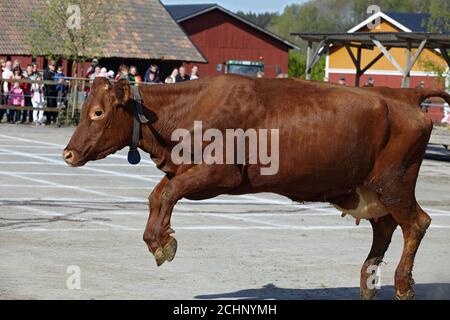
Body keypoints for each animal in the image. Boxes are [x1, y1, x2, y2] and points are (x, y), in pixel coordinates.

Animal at [63, 75, 450, 300]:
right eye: (85, 109)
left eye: (98, 113)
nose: (68, 153)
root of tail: (405, 93)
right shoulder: (183, 169)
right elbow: (157, 194)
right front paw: (156, 240)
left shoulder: (219, 174)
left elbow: (169, 193)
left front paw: (163, 243)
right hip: (372, 191)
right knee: (383, 232)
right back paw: (371, 283)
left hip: (395, 185)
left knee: (417, 223)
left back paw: (402, 284)